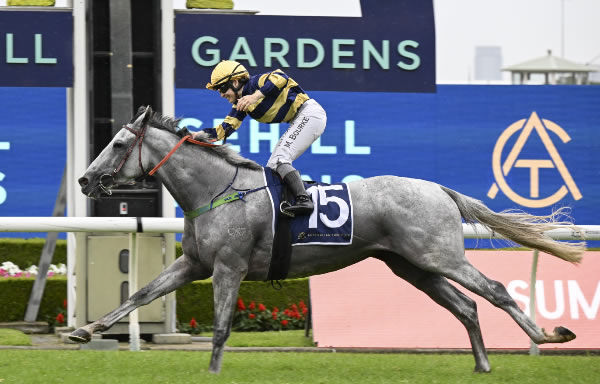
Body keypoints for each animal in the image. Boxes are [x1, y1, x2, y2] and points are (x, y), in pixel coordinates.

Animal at [71, 106, 584, 374]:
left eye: (119, 144)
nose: (84, 179)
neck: (217, 190)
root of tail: (439, 188)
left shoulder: (229, 268)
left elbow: (219, 325)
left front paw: (214, 371)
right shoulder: (194, 264)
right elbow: (139, 294)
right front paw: (86, 330)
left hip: (438, 256)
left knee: (494, 291)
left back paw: (548, 336)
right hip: (412, 266)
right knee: (466, 306)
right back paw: (482, 365)